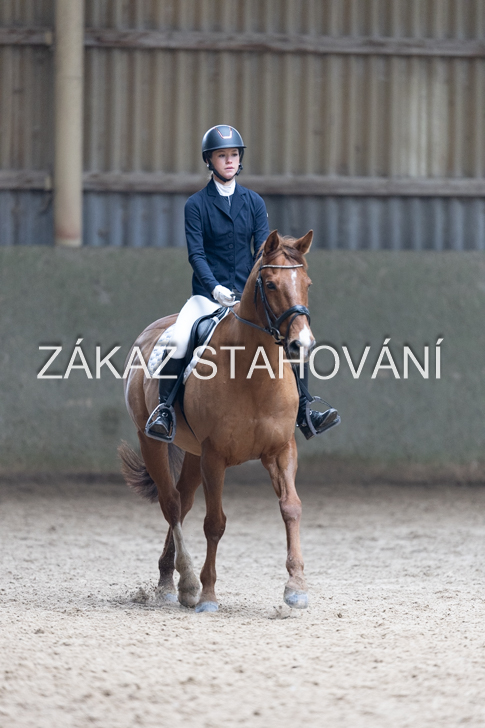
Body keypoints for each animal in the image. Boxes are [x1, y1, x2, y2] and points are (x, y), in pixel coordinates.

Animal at [119, 229, 316, 612]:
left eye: (308, 284)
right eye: (271, 284)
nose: (302, 344)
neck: (254, 374)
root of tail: (153, 329)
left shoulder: (281, 449)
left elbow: (292, 508)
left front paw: (296, 586)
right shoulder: (215, 456)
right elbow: (215, 523)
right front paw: (208, 594)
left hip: (193, 454)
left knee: (182, 502)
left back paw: (169, 580)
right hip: (151, 441)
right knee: (171, 504)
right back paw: (187, 583)